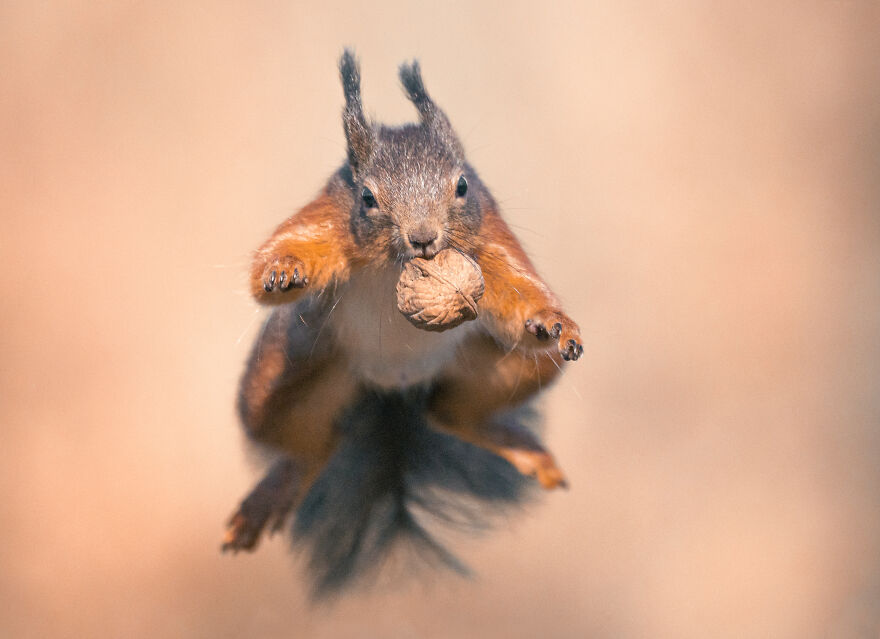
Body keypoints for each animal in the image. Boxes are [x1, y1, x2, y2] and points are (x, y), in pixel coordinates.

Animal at [222, 51, 584, 600]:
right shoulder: (329, 215)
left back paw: (519, 447)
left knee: (449, 413)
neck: (397, 265)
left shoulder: (489, 236)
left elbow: (517, 289)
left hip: (514, 369)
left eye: (461, 185)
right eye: (368, 197)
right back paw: (275, 492)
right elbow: (284, 251)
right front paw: (283, 272)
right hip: (278, 379)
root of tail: (392, 390)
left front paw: (551, 323)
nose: (423, 238)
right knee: (310, 444)